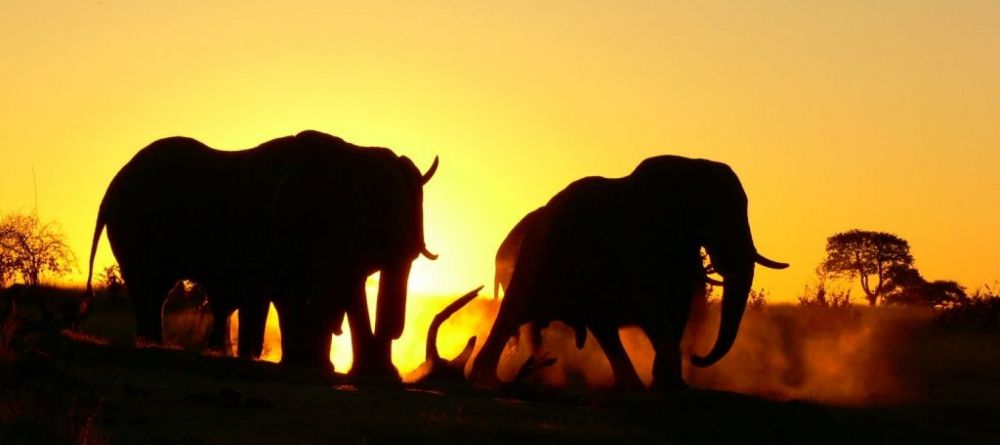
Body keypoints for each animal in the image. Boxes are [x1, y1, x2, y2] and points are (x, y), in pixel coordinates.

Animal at [87, 130, 442, 376]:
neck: (355, 157)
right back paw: (153, 345)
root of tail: (109, 190)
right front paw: (311, 367)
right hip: (135, 227)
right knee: (151, 287)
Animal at [468, 155, 788, 388]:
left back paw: (631, 385)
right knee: (514, 312)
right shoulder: (635, 243)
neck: (687, 167)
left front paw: (669, 386)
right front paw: (671, 386)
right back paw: (486, 381)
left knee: (602, 327)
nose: (697, 357)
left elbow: (677, 309)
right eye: (712, 213)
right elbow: (653, 307)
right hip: (536, 255)